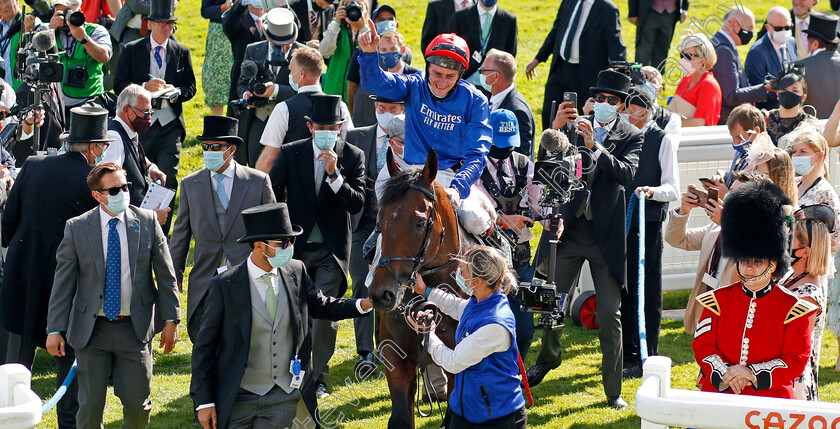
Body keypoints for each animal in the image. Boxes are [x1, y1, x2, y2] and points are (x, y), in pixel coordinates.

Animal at [370, 148, 462, 428]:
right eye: (380, 221)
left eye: (420, 223)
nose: (382, 294)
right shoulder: (395, 359)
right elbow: (401, 417)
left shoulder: (460, 363)